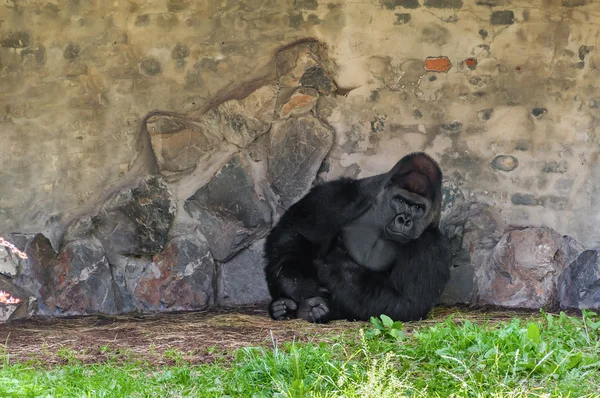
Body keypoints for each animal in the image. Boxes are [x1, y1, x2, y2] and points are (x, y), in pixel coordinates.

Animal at [264, 152, 452, 324]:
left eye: (418, 207)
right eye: (400, 200)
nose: (404, 220)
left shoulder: (433, 246)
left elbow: (405, 301)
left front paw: (334, 267)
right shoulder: (342, 193)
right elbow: (296, 232)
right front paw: (299, 287)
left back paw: (317, 310)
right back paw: (283, 306)